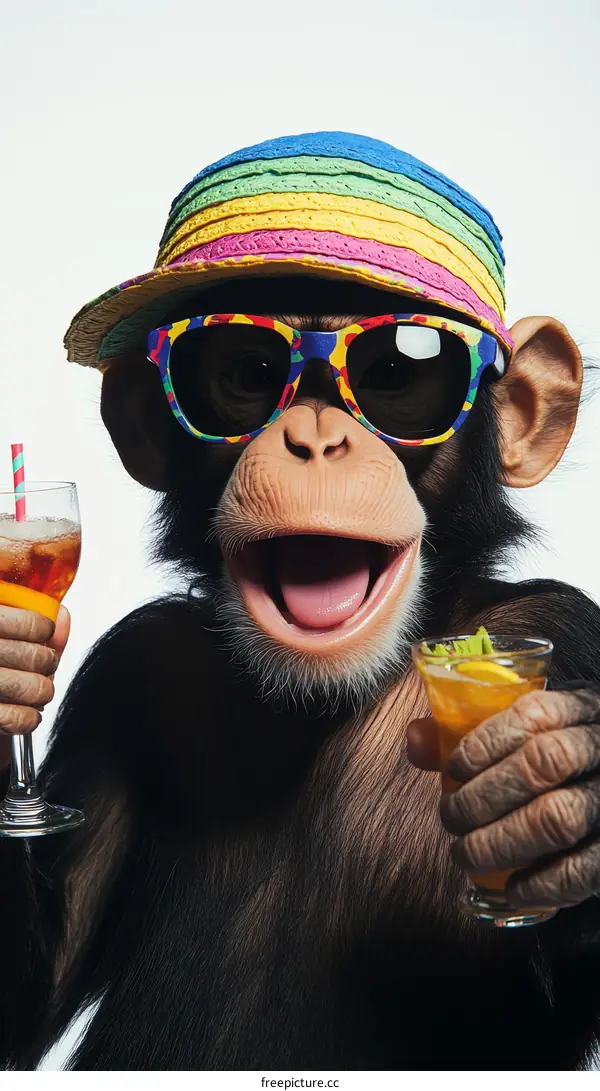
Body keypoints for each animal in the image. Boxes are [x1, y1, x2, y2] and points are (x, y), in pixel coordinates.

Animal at [1, 133, 600, 1071]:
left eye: (394, 372)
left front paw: (555, 794)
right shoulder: (131, 663)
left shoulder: (557, 634)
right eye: (246, 373)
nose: (315, 438)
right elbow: (31, 1004)